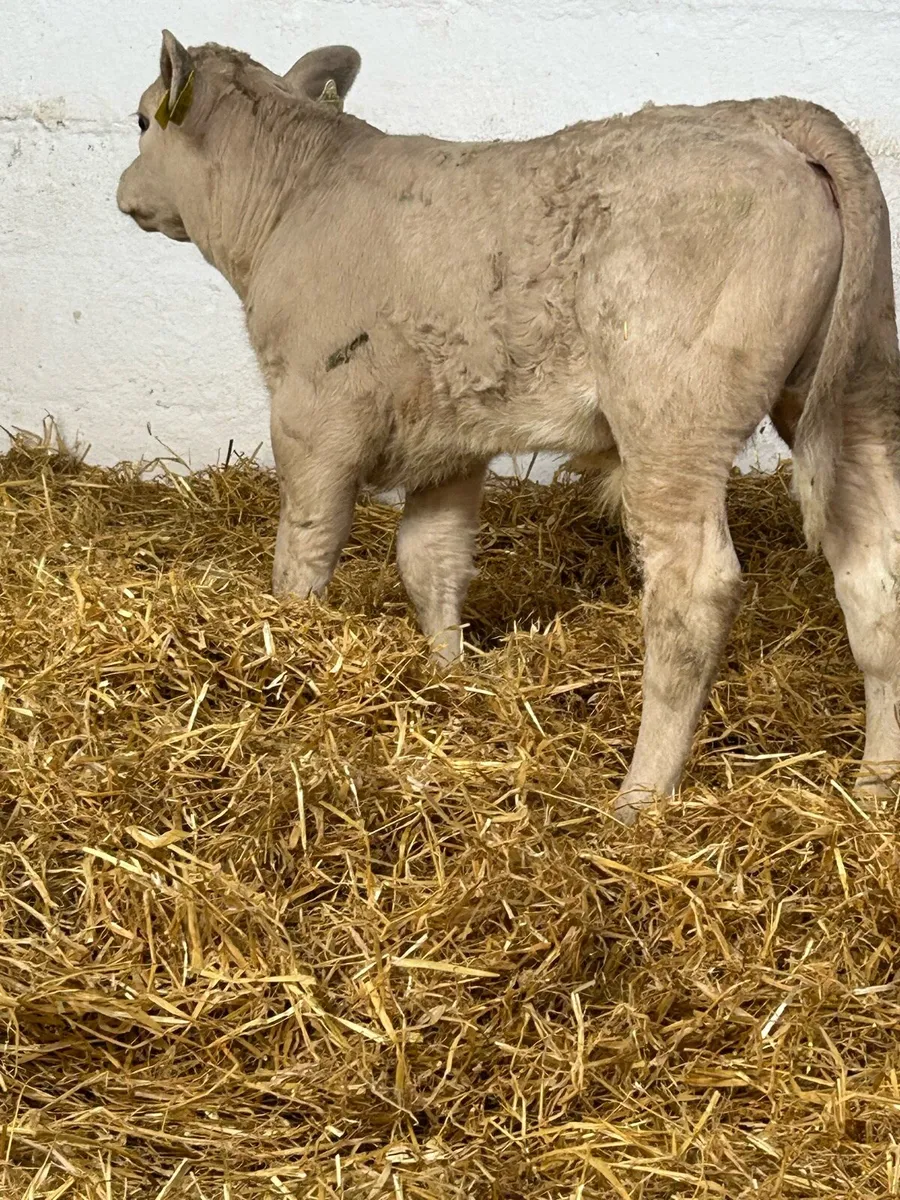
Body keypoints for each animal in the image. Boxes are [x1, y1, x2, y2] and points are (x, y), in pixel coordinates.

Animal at [117, 31, 900, 822]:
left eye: (142, 120)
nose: (124, 192)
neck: (293, 197)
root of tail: (768, 113)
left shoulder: (313, 415)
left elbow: (304, 553)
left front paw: (287, 643)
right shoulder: (449, 438)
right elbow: (429, 560)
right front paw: (448, 675)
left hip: (673, 418)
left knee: (692, 594)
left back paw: (638, 800)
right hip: (854, 391)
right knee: (876, 569)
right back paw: (875, 786)